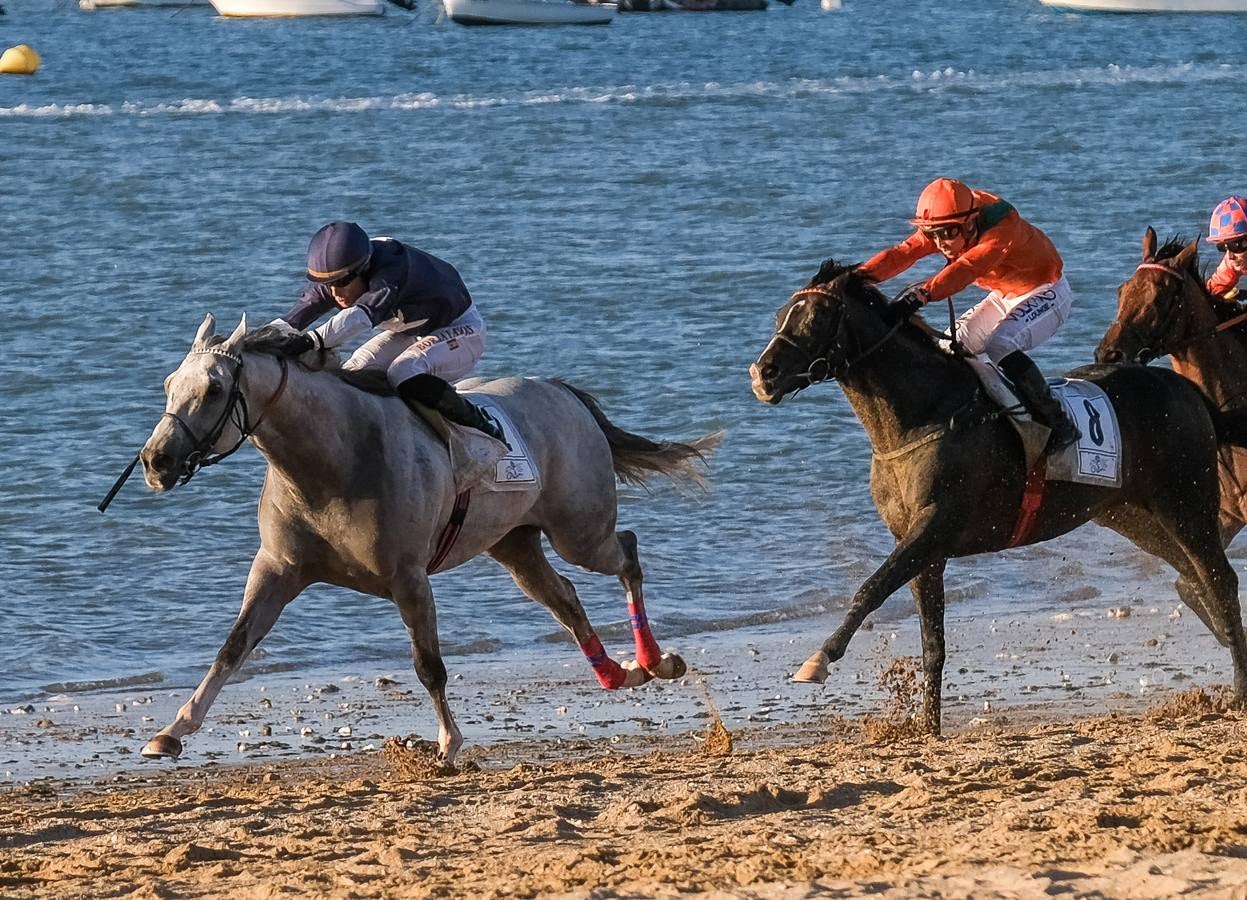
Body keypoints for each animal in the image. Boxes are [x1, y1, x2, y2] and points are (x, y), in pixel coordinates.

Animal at [134, 315, 723, 762]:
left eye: (213, 389)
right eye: (167, 384)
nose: (156, 461)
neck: (332, 461)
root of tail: (562, 391)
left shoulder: (408, 578)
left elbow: (428, 664)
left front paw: (448, 742)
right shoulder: (278, 569)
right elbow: (232, 647)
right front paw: (171, 732)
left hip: (579, 532)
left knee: (627, 552)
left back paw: (655, 661)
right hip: (515, 545)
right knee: (565, 598)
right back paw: (618, 674)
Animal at [748, 255, 1247, 727]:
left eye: (815, 316)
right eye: (779, 316)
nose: (762, 373)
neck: (923, 417)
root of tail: (1188, 390)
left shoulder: (934, 526)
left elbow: (870, 589)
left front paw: (818, 660)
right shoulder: (921, 544)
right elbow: (932, 641)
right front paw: (927, 726)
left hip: (1185, 505)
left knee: (1219, 578)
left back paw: (1240, 687)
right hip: (1133, 516)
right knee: (1193, 578)